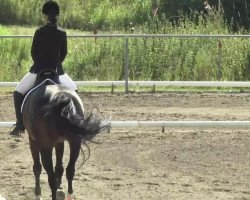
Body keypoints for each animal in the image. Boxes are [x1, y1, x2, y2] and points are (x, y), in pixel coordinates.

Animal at [22, 70, 107, 200]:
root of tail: (59, 97)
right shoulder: (60, 141)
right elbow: (60, 168)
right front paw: (60, 187)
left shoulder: (33, 141)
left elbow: (37, 168)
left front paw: (38, 193)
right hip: (75, 141)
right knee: (70, 170)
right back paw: (68, 194)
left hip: (45, 146)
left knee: (50, 176)